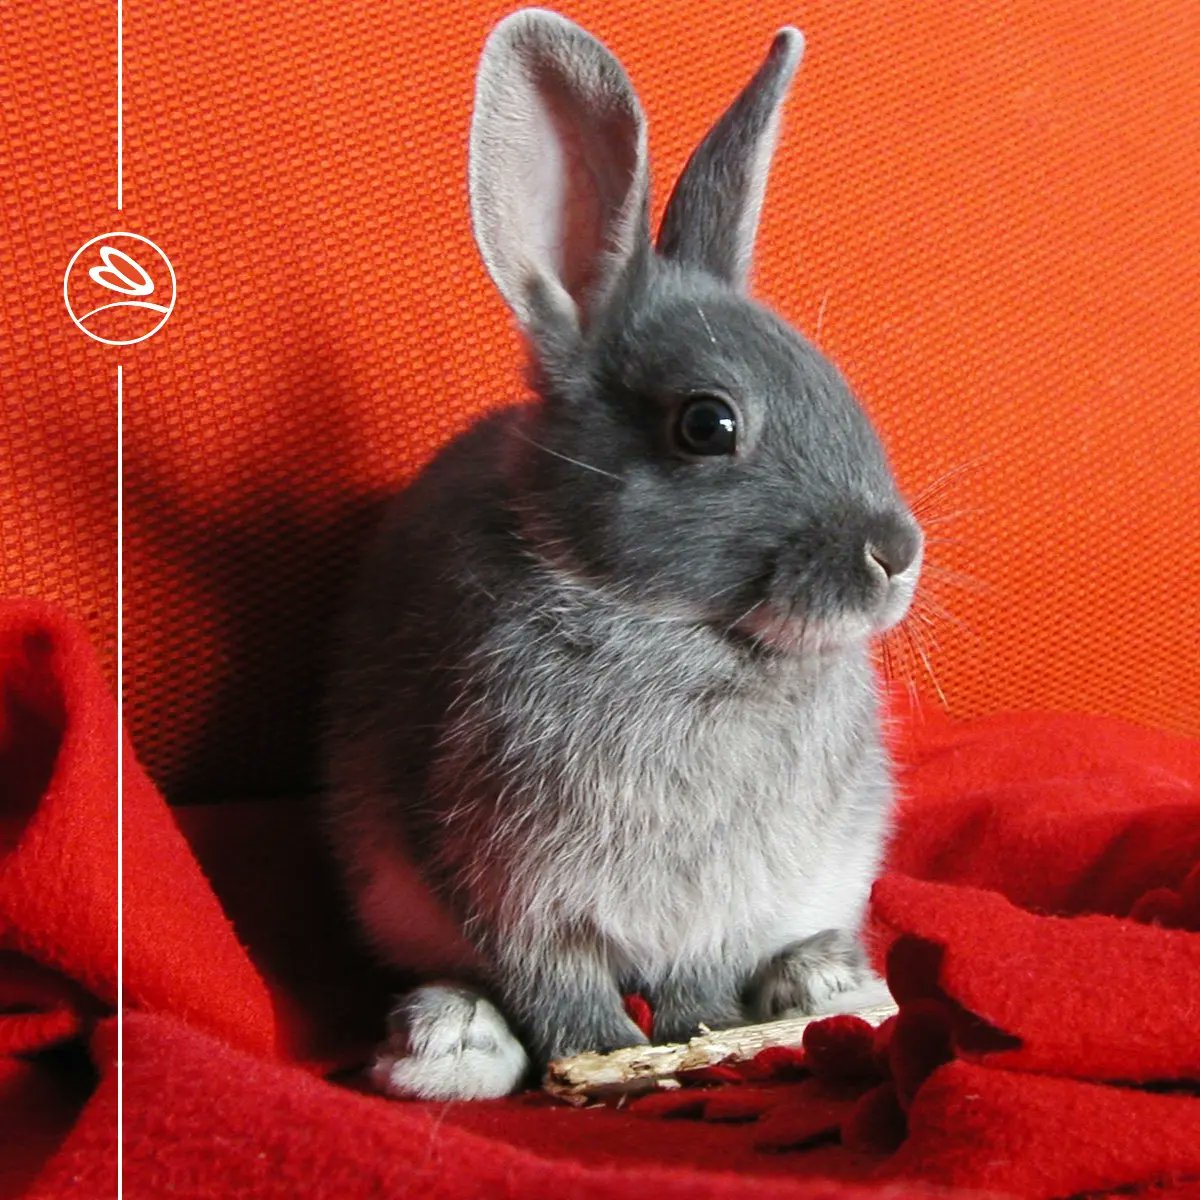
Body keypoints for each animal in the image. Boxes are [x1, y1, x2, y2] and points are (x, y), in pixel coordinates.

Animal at [322, 7, 923, 1102]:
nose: (895, 553)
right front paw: (600, 1058)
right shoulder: (504, 881)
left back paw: (823, 982)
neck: (671, 629)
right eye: (708, 424)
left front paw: (697, 1033)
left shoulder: (716, 906)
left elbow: (697, 978)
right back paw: (452, 1041)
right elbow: (553, 983)